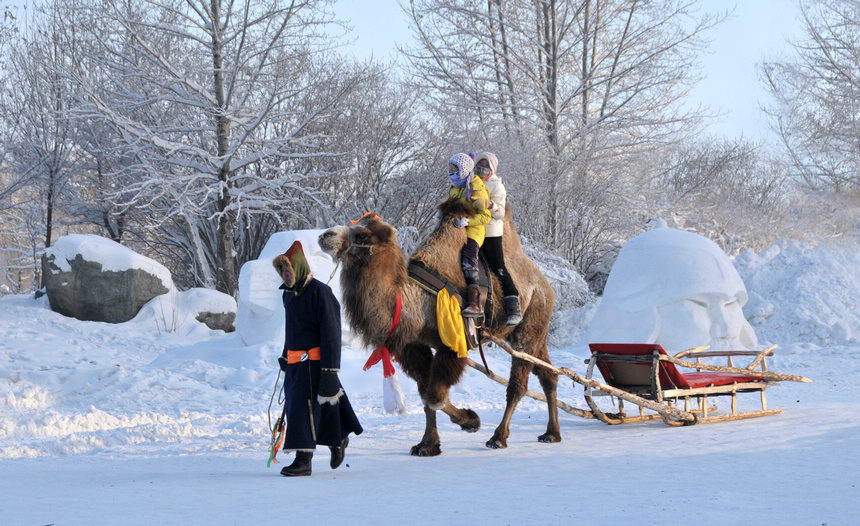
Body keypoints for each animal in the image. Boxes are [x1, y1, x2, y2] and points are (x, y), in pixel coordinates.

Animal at [320, 199, 560, 458]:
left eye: (362, 235)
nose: (325, 235)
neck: (417, 301)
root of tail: (545, 284)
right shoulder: (414, 346)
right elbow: (425, 394)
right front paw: (427, 445)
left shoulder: (454, 343)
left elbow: (434, 396)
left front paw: (471, 421)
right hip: (537, 330)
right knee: (549, 374)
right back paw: (551, 433)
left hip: (532, 318)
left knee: (518, 384)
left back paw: (498, 438)